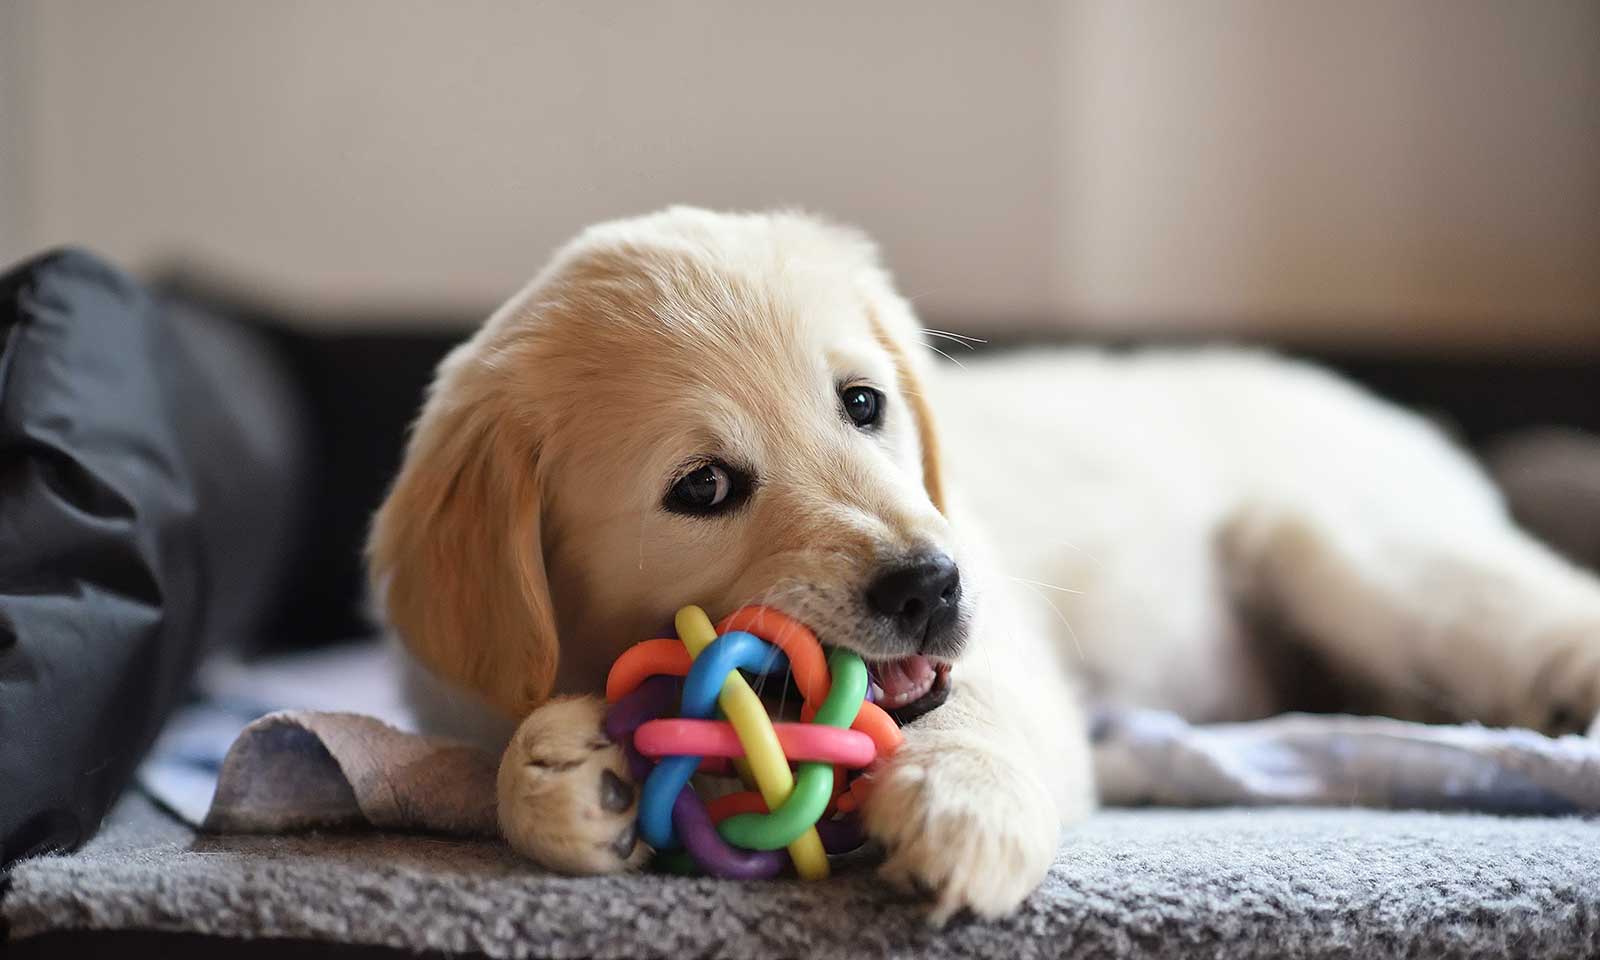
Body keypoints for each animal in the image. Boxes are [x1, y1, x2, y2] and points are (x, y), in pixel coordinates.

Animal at [368, 206, 1600, 921]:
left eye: (863, 403)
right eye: (702, 488)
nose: (929, 585)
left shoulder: (1009, 648)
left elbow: (975, 713)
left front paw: (963, 808)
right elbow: (499, 756)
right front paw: (565, 773)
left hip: (1349, 555)